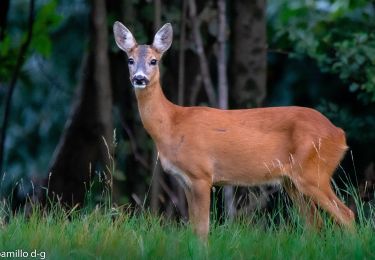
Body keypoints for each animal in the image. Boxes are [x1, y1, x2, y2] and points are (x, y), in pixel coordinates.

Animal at [112, 21, 356, 239]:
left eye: (153, 61)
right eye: (130, 60)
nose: (139, 78)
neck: (172, 124)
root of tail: (339, 134)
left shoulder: (202, 174)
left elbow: (202, 229)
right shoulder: (185, 180)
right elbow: (194, 227)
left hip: (313, 171)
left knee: (346, 215)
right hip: (293, 181)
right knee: (315, 223)